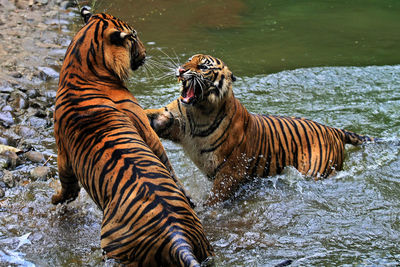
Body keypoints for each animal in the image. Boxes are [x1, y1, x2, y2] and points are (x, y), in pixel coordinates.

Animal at [51, 7, 214, 266]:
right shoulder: (145, 129)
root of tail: (177, 237)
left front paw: (54, 200)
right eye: (134, 38)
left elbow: (67, 189)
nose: (145, 52)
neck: (82, 68)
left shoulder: (64, 156)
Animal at [145, 53, 376, 206]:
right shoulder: (172, 119)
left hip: (316, 170)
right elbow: (151, 116)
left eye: (203, 67)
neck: (198, 111)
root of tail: (334, 130)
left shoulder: (231, 169)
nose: (181, 70)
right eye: (187, 61)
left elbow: (216, 197)